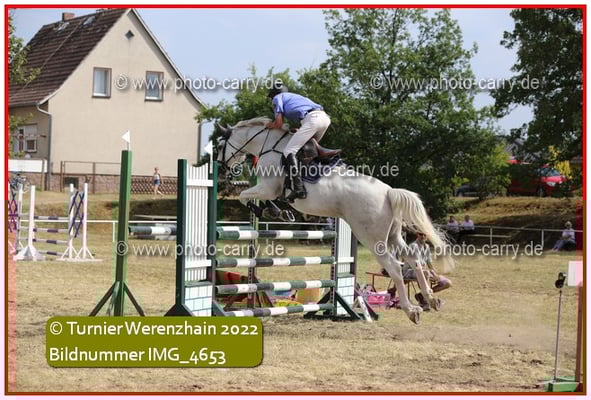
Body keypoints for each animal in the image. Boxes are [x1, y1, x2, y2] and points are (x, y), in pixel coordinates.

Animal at [217, 117, 454, 324]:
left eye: (219, 146)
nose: (223, 170)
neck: (268, 145)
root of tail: (388, 192)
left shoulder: (268, 188)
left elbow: (244, 196)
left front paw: (267, 211)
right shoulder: (269, 190)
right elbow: (258, 199)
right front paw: (279, 212)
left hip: (371, 237)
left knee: (395, 267)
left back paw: (411, 310)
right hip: (392, 235)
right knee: (413, 258)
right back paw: (431, 298)